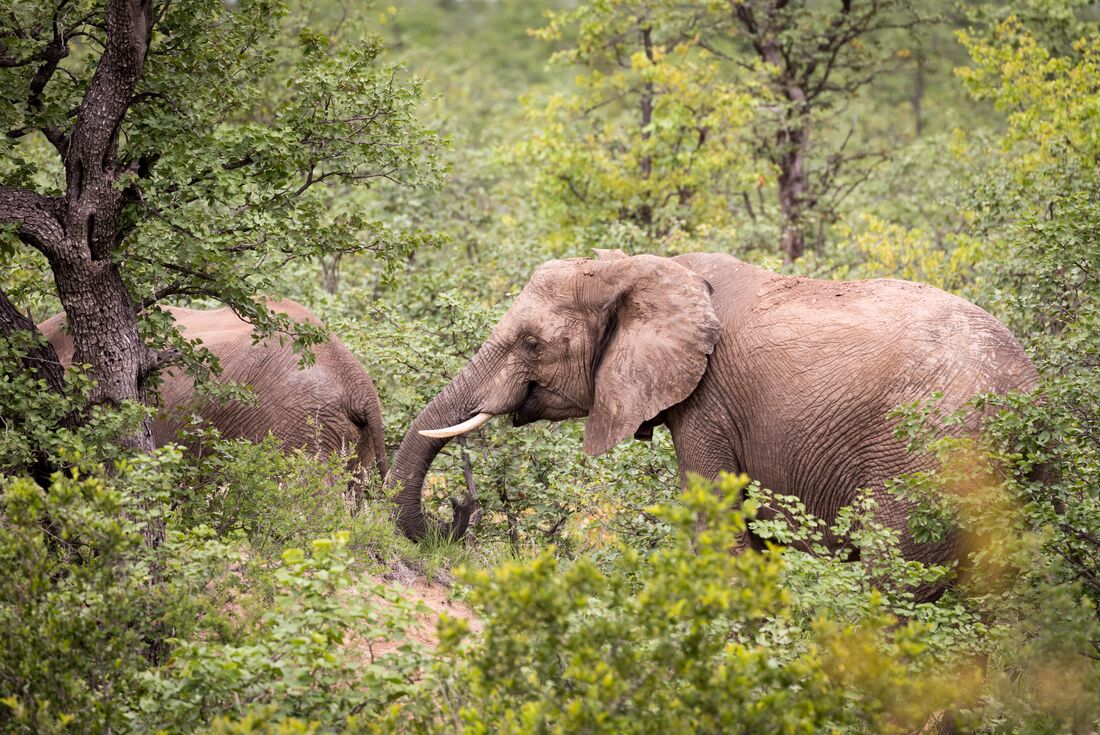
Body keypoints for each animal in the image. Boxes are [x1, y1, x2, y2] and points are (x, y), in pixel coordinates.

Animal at [387, 250, 1037, 595]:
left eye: (530, 342)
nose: (452, 520)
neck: (641, 266)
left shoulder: (709, 403)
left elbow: (718, 522)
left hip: (926, 463)